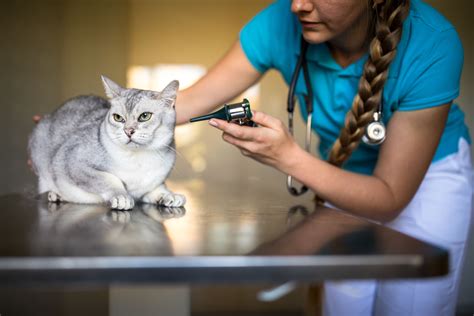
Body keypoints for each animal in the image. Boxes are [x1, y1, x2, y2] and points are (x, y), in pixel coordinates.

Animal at [27, 75, 187, 210]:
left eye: (145, 116)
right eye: (118, 118)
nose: (128, 131)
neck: (137, 160)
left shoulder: (152, 182)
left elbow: (156, 187)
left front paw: (168, 195)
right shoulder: (71, 161)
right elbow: (109, 178)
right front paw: (121, 196)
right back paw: (55, 194)